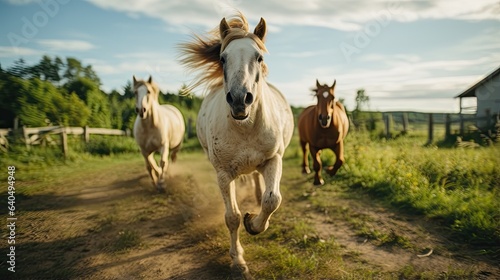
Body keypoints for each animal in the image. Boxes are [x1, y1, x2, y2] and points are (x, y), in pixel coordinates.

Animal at [179, 11, 292, 278]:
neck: (246, 127)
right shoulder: (223, 174)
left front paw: (255, 223)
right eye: (222, 58)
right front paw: (238, 261)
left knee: (261, 186)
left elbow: (272, 199)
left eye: (259, 57)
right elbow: (232, 217)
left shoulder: (273, 159)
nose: (240, 99)